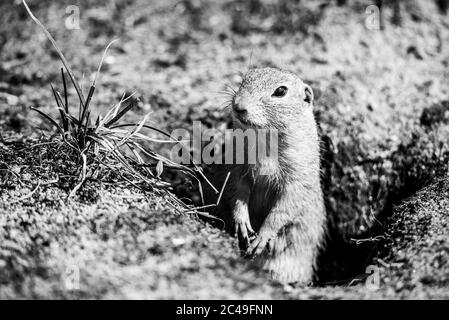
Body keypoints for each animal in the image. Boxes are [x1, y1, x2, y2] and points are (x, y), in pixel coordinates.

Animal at [204, 67, 326, 282]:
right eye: (245, 78)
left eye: (281, 91)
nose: (238, 105)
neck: (265, 140)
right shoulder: (237, 166)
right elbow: (237, 191)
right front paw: (242, 224)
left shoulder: (298, 177)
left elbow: (284, 208)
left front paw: (261, 238)